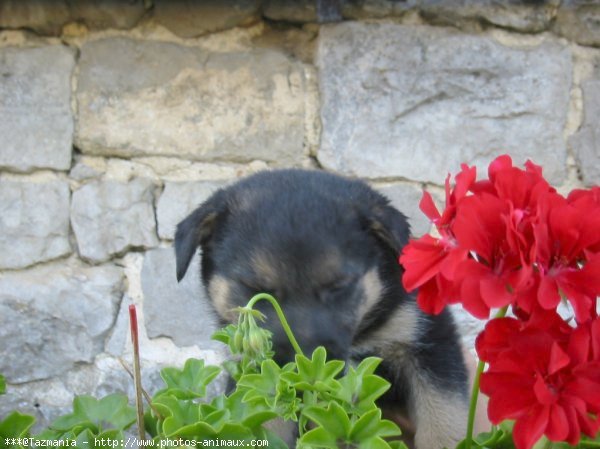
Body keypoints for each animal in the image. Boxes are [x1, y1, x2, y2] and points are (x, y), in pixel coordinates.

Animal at [173, 169, 468, 448]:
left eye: (339, 285)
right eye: (254, 287)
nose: (305, 361)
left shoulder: (428, 342)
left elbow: (443, 419)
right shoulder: (258, 374)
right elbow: (265, 418)